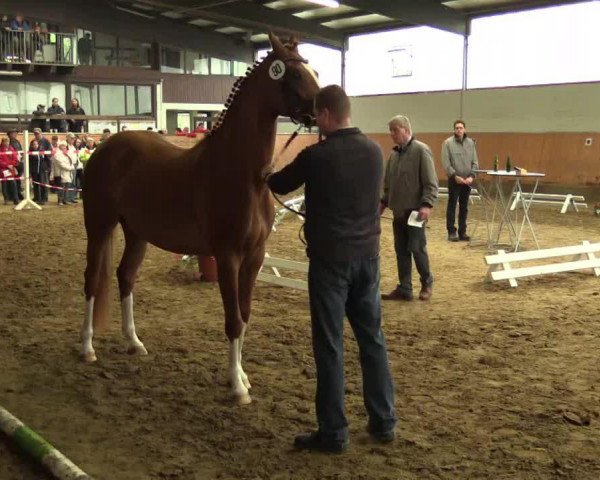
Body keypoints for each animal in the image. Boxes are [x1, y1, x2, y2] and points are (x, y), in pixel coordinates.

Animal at [82, 31, 322, 404]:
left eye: (313, 71)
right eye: (294, 74)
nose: (323, 108)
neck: (244, 173)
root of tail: (105, 147)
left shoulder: (254, 258)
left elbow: (245, 315)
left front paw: (242, 377)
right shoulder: (227, 256)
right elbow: (233, 320)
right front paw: (237, 388)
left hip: (136, 233)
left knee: (125, 276)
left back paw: (134, 343)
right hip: (99, 226)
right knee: (92, 279)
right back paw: (87, 348)